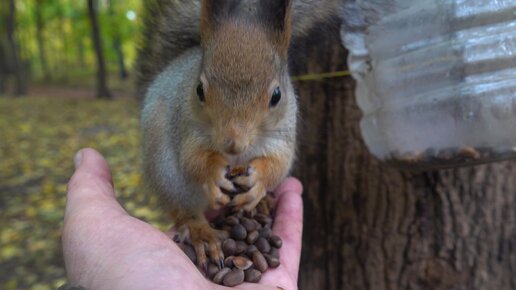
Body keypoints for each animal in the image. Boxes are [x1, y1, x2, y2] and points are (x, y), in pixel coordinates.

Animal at [137, 0, 342, 270]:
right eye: (199, 90)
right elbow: (194, 160)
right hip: (167, 175)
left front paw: (259, 181)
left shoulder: (283, 136)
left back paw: (261, 203)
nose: (233, 144)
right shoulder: (187, 128)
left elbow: (278, 164)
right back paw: (201, 233)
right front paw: (214, 172)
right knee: (183, 209)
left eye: (277, 95)